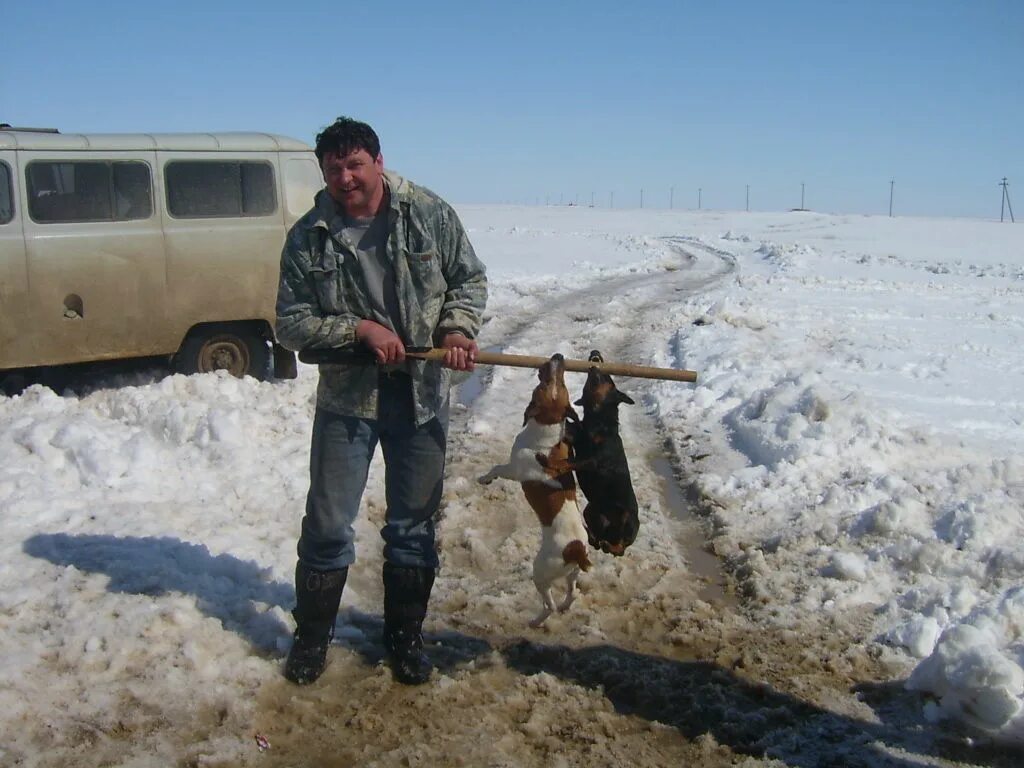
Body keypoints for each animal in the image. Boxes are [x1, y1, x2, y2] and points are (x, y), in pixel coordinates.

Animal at [477, 354, 593, 626]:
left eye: (549, 382)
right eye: (561, 383)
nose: (559, 356)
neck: (546, 435)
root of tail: (576, 550)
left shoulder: (513, 469)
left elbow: (496, 468)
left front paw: (485, 479)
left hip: (540, 572)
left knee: (549, 604)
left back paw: (535, 621)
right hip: (572, 574)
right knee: (572, 593)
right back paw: (565, 607)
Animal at [569, 352, 638, 557]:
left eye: (608, 378)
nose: (594, 360)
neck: (597, 421)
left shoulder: (593, 460)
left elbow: (572, 461)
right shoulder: (579, 438)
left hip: (629, 517)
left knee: (621, 546)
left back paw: (611, 544)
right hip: (591, 508)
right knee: (598, 537)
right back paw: (595, 538)